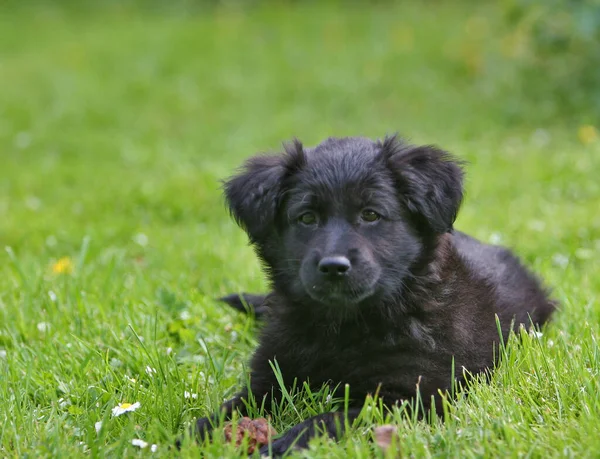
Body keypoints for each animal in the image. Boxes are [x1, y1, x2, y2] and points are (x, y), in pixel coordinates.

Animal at [195, 136, 556, 456]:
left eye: (370, 214)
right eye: (307, 218)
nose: (334, 266)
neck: (344, 326)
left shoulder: (414, 395)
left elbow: (329, 419)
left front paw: (283, 444)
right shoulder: (270, 374)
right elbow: (230, 407)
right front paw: (192, 435)